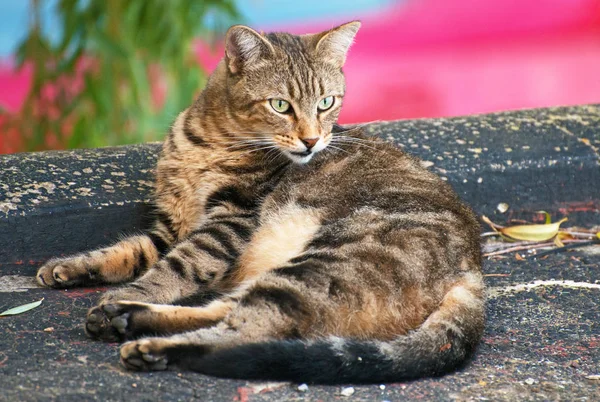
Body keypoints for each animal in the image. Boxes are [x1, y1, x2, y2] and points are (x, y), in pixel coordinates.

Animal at [35, 21, 486, 384]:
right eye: (280, 105)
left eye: (326, 103)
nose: (312, 140)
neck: (208, 142)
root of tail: (474, 268)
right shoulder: (172, 226)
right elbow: (129, 250)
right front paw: (72, 267)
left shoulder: (229, 221)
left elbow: (176, 267)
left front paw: (134, 289)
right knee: (226, 309)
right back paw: (124, 317)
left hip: (321, 264)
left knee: (247, 331)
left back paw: (146, 340)